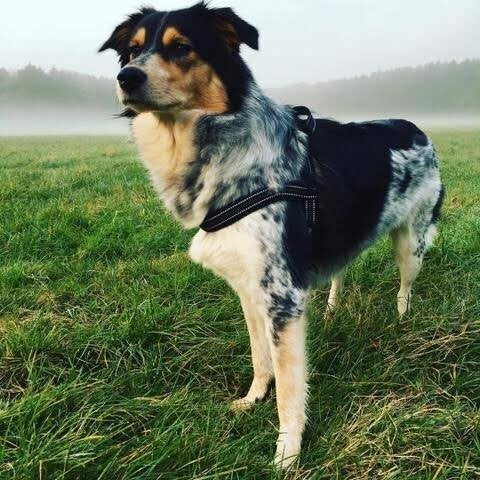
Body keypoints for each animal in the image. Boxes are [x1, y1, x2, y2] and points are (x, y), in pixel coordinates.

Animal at [100, 2, 444, 469]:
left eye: (182, 47)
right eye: (133, 50)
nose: (126, 77)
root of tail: (416, 127)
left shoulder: (283, 298)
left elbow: (289, 386)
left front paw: (287, 453)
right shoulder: (249, 287)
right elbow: (260, 357)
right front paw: (251, 399)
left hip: (412, 242)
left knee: (405, 287)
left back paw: (402, 320)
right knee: (341, 271)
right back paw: (333, 307)